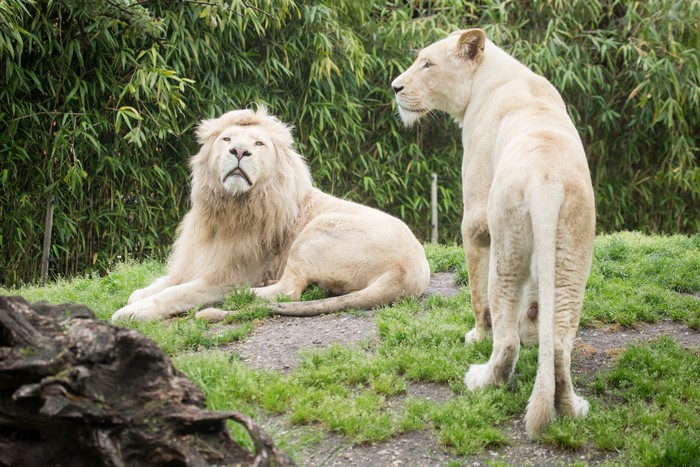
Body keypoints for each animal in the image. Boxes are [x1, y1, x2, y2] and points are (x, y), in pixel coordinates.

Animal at [111, 106, 430, 323]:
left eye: (258, 144)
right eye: (226, 139)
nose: (239, 151)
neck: (227, 208)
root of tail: (407, 274)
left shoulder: (226, 276)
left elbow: (176, 293)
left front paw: (134, 311)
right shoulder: (195, 262)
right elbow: (159, 285)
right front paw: (139, 296)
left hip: (316, 230)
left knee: (287, 291)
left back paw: (240, 296)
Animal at [391, 29, 595, 437]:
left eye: (428, 64)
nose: (395, 87)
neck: (488, 78)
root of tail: (546, 179)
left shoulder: (475, 219)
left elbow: (476, 295)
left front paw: (476, 337)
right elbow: (535, 305)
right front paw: (533, 329)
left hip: (507, 244)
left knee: (505, 339)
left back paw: (481, 379)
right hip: (571, 259)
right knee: (559, 346)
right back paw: (571, 408)